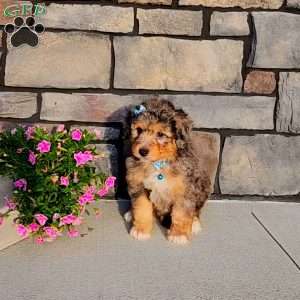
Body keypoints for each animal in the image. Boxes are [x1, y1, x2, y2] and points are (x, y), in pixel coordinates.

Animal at [125, 98, 210, 244]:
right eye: (139, 130)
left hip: (203, 183)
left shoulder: (185, 188)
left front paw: (179, 235)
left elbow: (182, 213)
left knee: (196, 210)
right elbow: (141, 207)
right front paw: (141, 230)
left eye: (160, 134)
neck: (157, 164)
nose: (142, 151)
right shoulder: (138, 184)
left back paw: (194, 223)